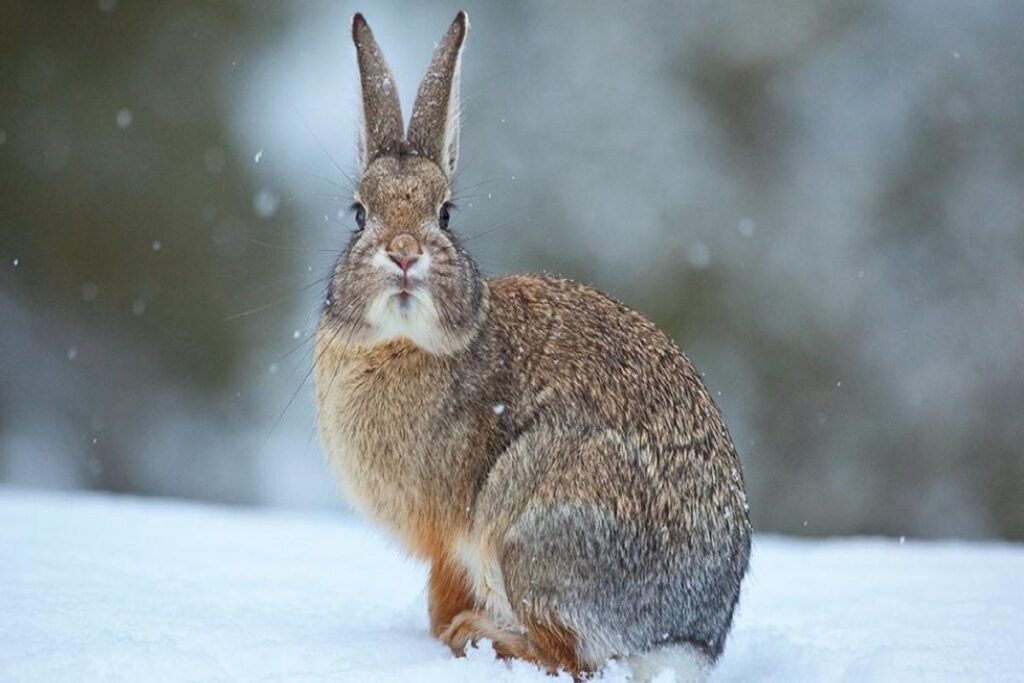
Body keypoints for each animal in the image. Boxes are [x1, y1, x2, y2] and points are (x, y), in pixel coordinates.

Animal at [313, 12, 753, 683]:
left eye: (447, 213)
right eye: (359, 214)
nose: (405, 253)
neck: (408, 344)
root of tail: (681, 641)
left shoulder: (451, 541)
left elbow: (442, 595)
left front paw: (447, 631)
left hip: (529, 531)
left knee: (568, 656)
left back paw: (477, 637)